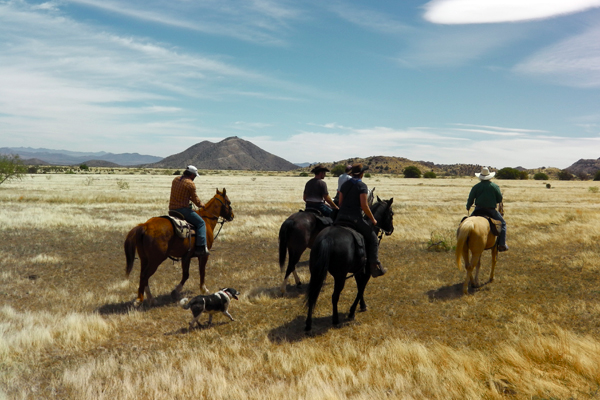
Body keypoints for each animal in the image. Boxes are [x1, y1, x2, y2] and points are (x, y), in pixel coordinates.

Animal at [304, 197, 394, 332]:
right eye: (391, 214)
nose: (391, 230)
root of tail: (327, 238)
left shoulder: (358, 270)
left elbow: (359, 286)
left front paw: (362, 305)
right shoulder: (366, 272)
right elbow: (361, 289)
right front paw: (352, 312)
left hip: (315, 272)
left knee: (313, 293)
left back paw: (308, 324)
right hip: (340, 276)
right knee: (335, 296)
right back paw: (335, 320)